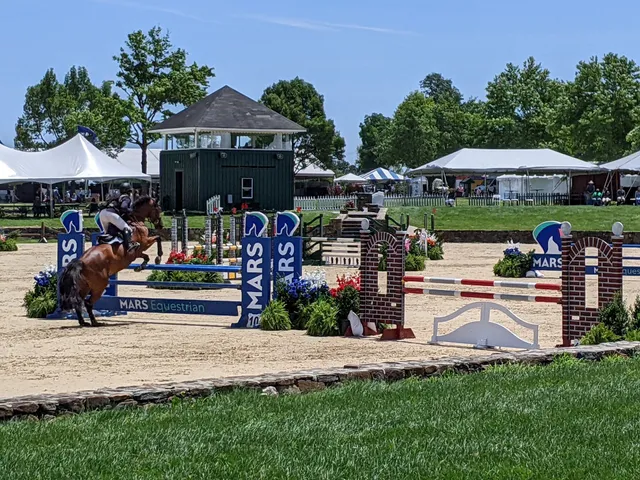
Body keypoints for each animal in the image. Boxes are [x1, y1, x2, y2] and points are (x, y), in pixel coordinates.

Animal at [59, 196, 164, 327]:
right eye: (158, 209)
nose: (161, 226)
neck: (135, 220)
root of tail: (81, 262)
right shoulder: (144, 244)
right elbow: (157, 239)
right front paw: (158, 257)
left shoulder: (139, 251)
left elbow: (146, 256)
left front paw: (141, 266)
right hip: (100, 285)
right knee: (88, 303)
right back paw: (95, 322)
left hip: (84, 287)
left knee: (78, 301)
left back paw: (83, 322)